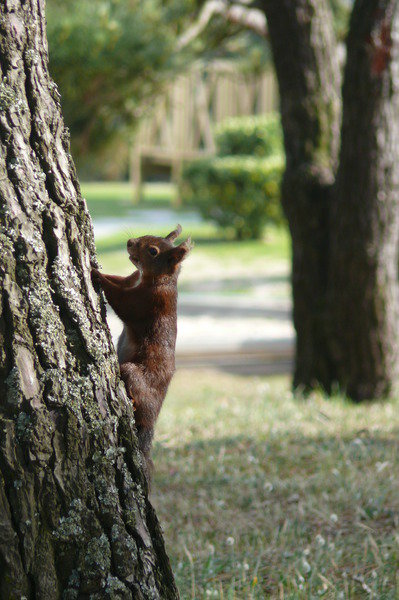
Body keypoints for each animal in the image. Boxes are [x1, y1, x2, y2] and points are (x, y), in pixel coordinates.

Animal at [91, 225, 191, 482]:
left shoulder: (147, 303)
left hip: (135, 375)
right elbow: (120, 280)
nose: (129, 242)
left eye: (153, 251)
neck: (152, 278)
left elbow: (121, 301)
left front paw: (96, 274)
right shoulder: (131, 279)